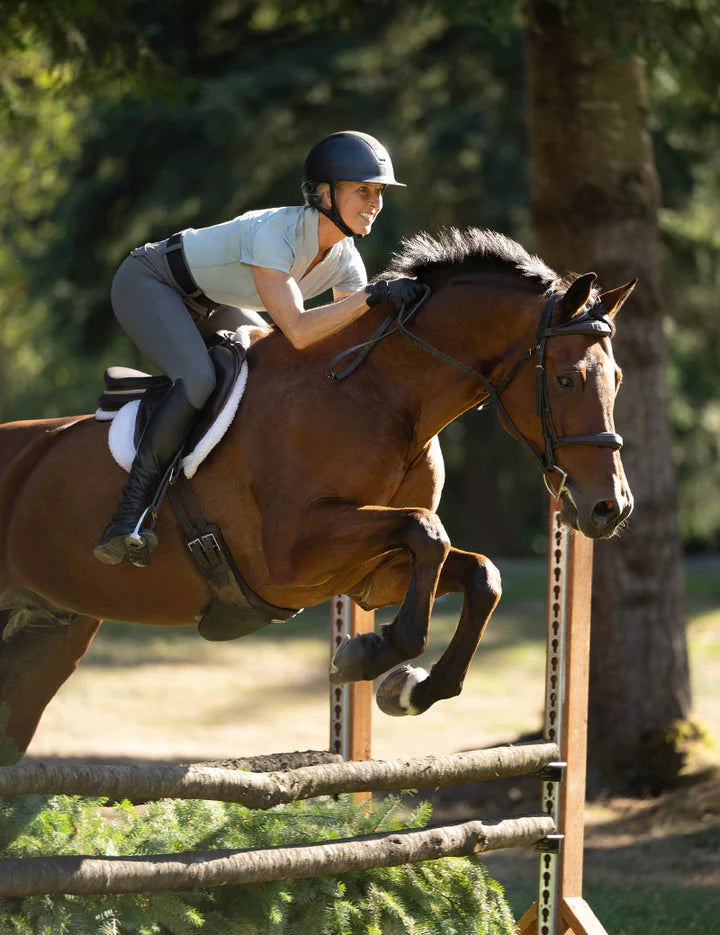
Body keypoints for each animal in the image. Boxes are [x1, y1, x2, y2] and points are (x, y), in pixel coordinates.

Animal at [0, 228, 635, 755]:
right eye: (566, 378)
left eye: (618, 377)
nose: (610, 508)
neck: (381, 394)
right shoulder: (290, 555)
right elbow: (427, 530)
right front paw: (372, 653)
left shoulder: (370, 574)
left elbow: (481, 573)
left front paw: (410, 687)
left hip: (49, 633)